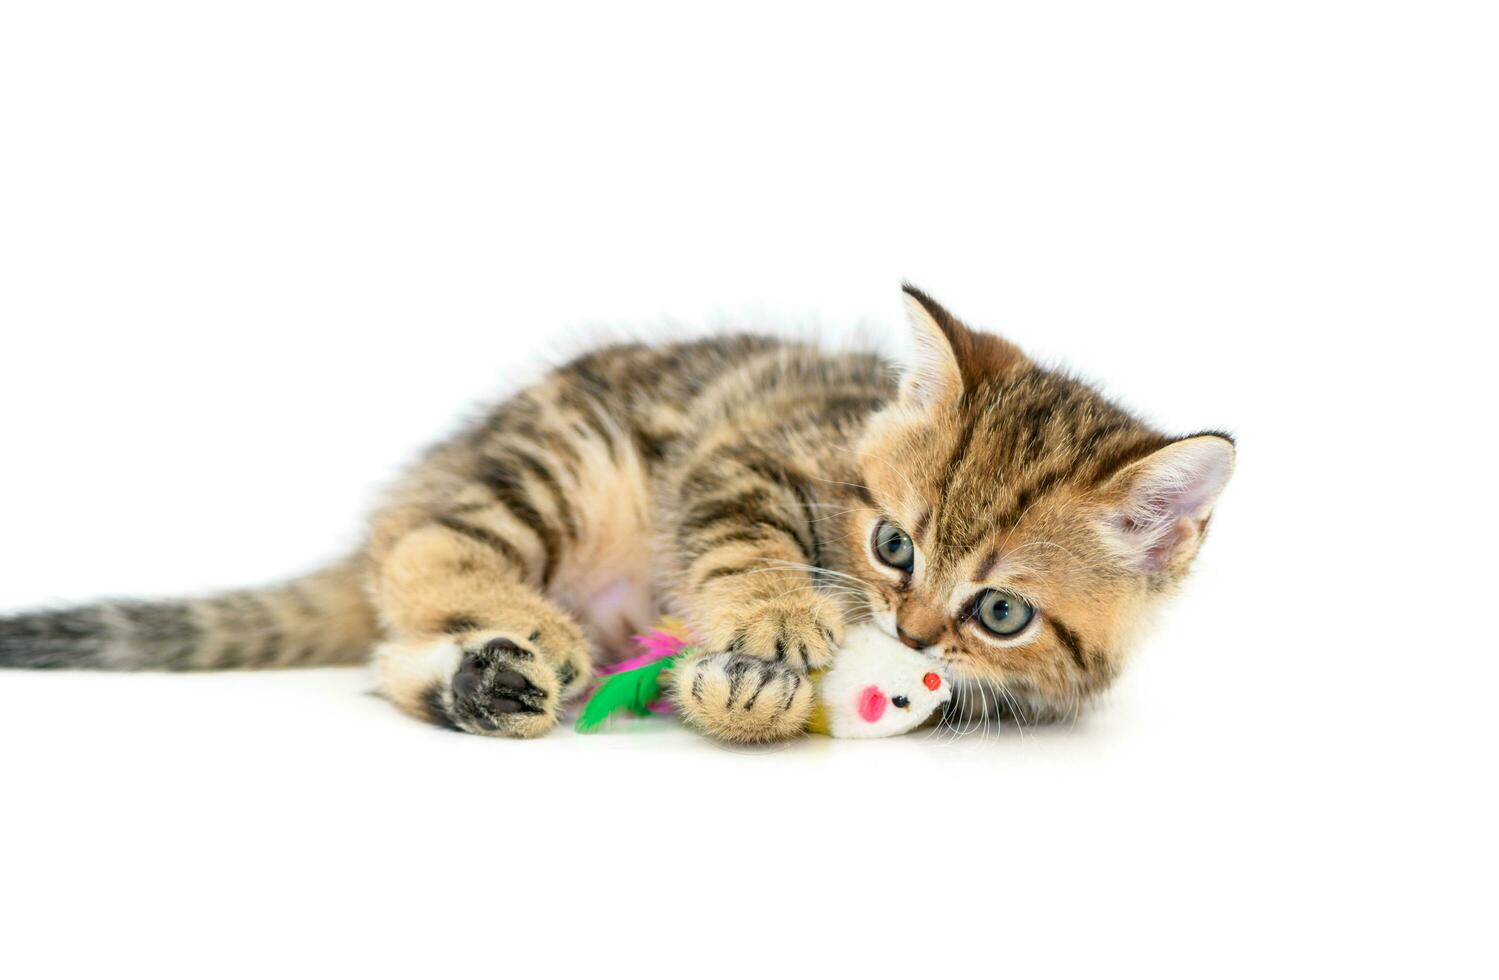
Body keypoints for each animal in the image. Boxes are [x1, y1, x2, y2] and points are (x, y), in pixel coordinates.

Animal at [0, 289, 1229, 746]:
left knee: (398, 649)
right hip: (562, 461)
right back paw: (524, 632)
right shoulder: (743, 450)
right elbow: (740, 538)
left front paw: (736, 690)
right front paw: (774, 626)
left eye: (1000, 612)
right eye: (894, 545)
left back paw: (486, 682)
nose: (914, 633)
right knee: (424, 547)